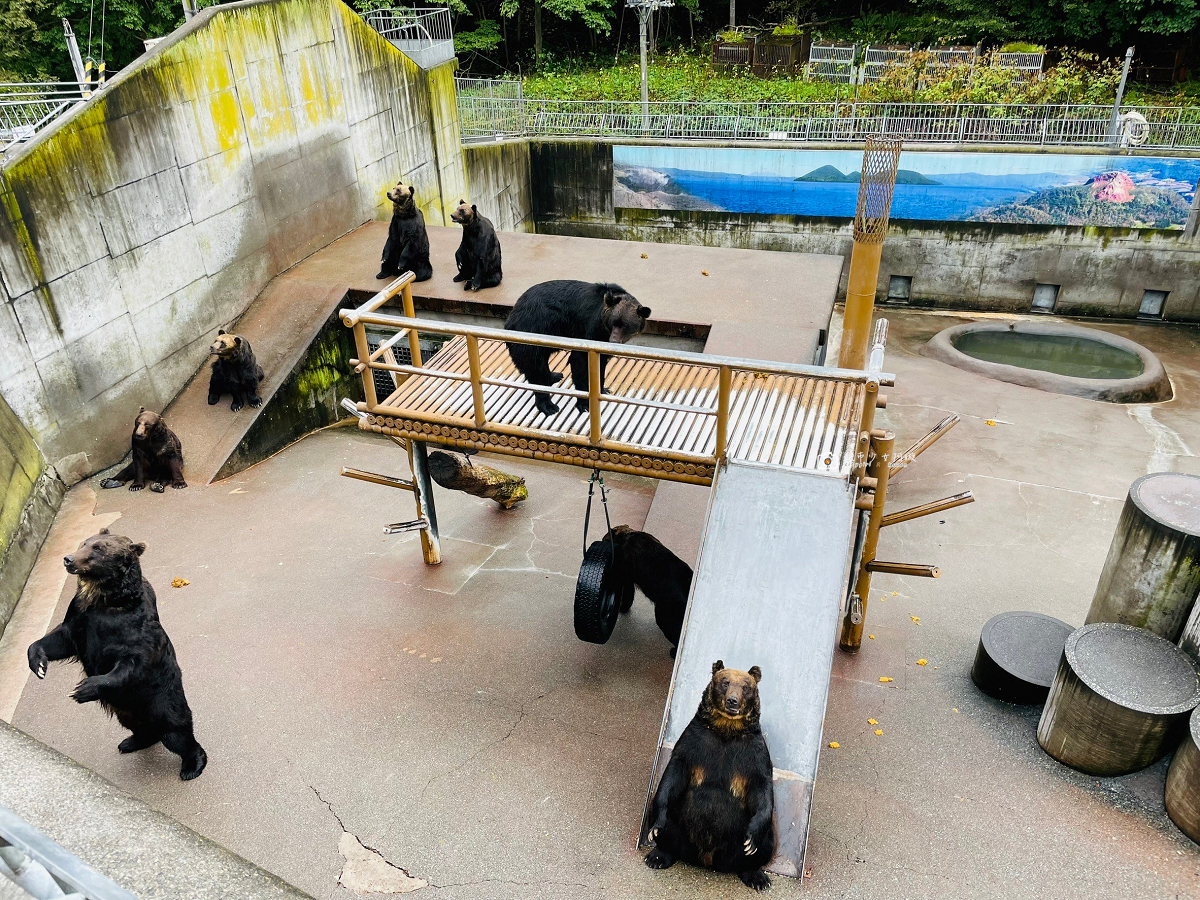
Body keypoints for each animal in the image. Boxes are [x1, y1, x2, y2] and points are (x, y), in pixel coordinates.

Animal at [26, 529, 208, 781]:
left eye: (99, 549)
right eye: (85, 543)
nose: (69, 559)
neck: (104, 598)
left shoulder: (132, 629)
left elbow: (132, 662)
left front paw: (82, 689)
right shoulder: (80, 617)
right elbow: (60, 639)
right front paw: (39, 664)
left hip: (161, 700)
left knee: (176, 731)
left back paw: (192, 765)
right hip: (127, 709)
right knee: (139, 726)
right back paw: (130, 742)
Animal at [504, 280, 651, 417]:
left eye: (625, 325)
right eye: (613, 322)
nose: (613, 341)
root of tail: (513, 313)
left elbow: (600, 364)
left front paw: (603, 389)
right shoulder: (590, 330)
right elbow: (581, 362)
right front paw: (585, 404)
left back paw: (554, 376)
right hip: (533, 328)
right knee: (535, 367)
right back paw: (548, 406)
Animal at [605, 525, 692, 657]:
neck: (626, 535)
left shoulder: (627, 579)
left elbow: (628, 596)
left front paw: (622, 608)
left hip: (664, 618)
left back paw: (674, 652)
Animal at [645, 660, 775, 892]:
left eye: (745, 687)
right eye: (725, 682)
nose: (732, 701)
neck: (726, 729)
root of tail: (707, 859)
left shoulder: (753, 753)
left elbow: (762, 788)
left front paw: (751, 840)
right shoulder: (694, 743)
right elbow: (673, 775)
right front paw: (656, 826)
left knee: (767, 843)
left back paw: (757, 876)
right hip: (680, 822)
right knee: (669, 828)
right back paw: (658, 855)